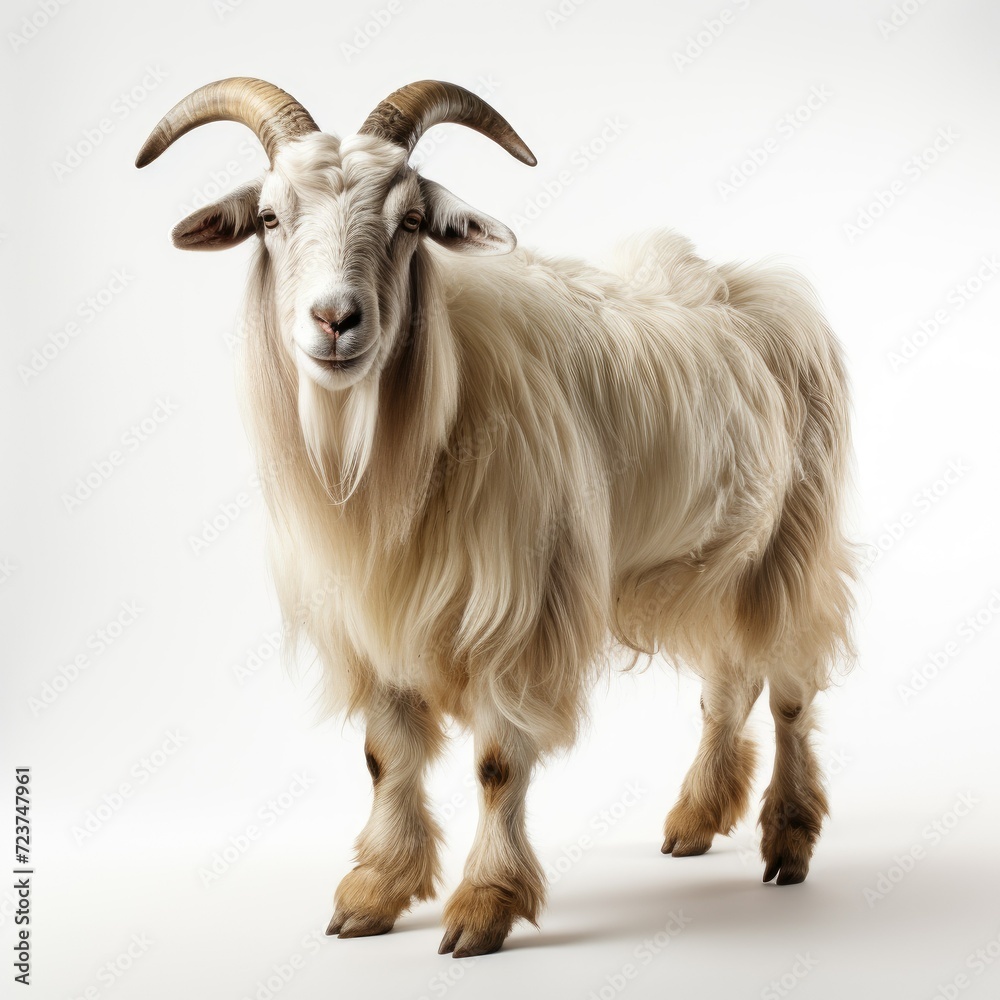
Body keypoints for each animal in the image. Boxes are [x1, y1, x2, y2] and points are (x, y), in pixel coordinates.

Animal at [137, 78, 856, 958]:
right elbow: (385, 755)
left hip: (794, 543)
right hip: (708, 557)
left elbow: (497, 764)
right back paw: (695, 816)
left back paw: (787, 838)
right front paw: (376, 890)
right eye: (270, 217)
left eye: (412, 220)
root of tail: (760, 284)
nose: (335, 320)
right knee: (729, 682)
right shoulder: (371, 619)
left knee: (788, 689)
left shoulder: (521, 611)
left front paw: (484, 904)